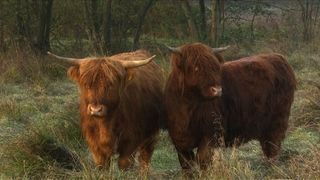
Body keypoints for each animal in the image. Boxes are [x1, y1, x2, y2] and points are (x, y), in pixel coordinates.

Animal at [165, 43, 298, 169]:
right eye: (196, 67)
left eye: (215, 68)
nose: (217, 90)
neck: (187, 107)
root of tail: (278, 57)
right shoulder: (180, 142)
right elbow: (187, 166)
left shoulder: (211, 134)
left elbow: (203, 160)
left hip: (277, 121)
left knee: (273, 145)